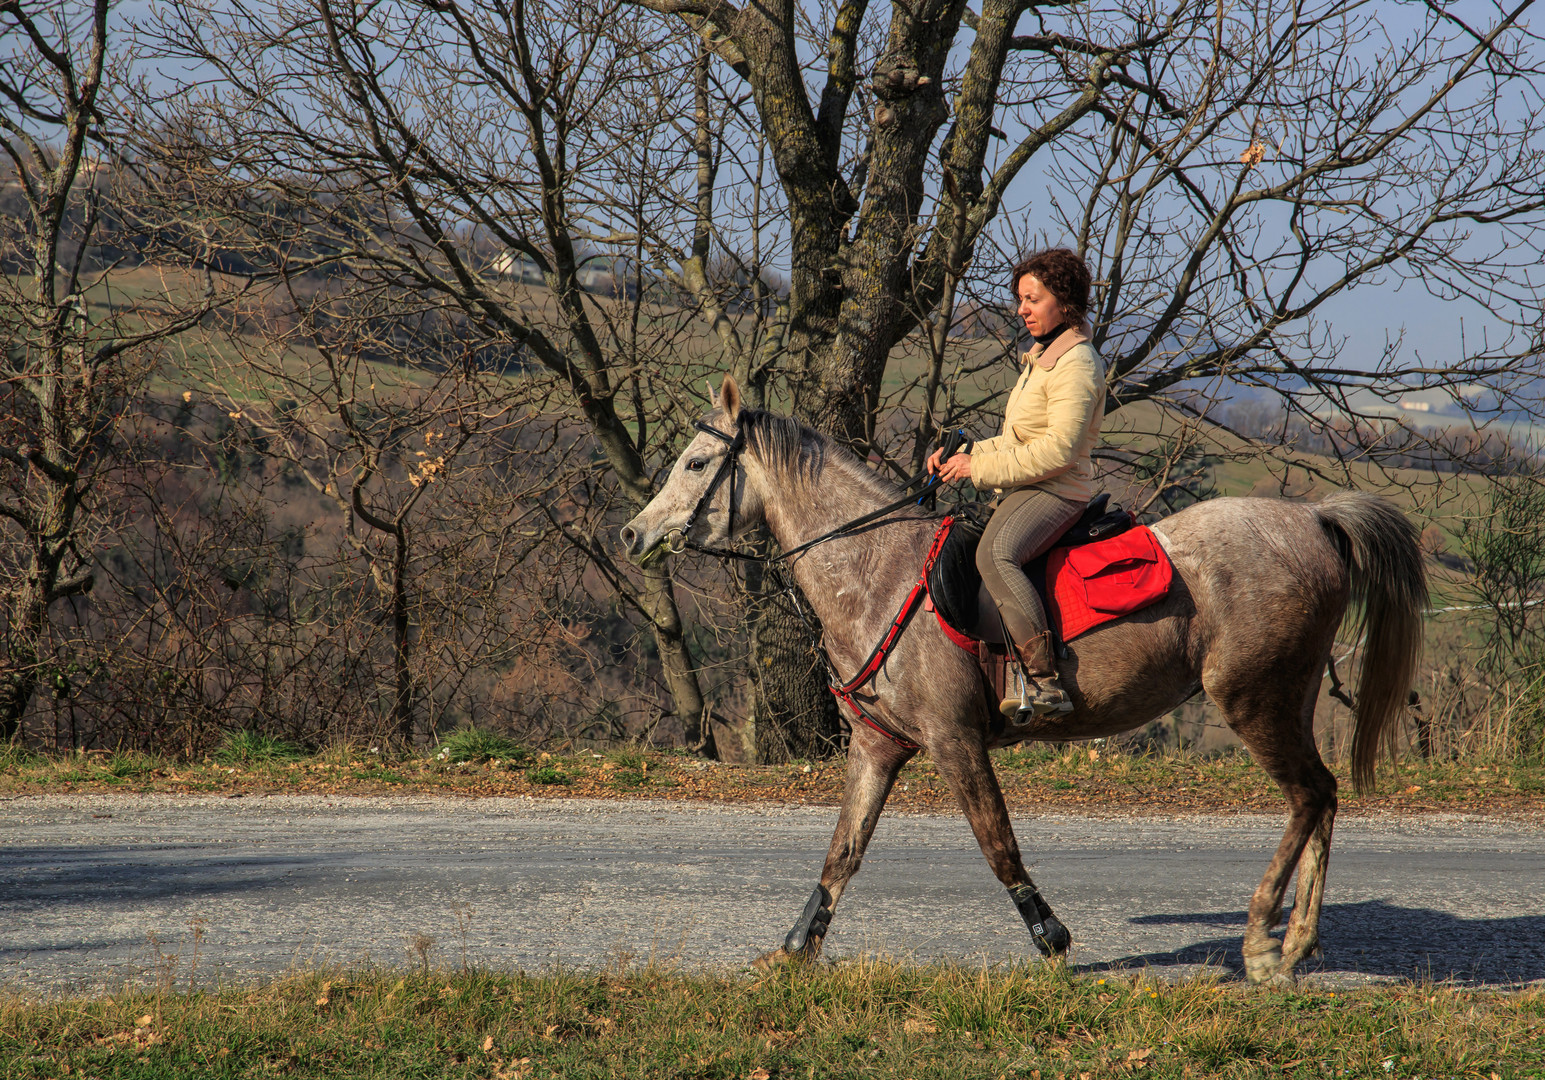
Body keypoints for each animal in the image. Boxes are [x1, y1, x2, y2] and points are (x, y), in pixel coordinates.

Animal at [611, 375, 1421, 982]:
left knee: (1307, 796)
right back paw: (1297, 942)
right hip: (1286, 698)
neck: (877, 574)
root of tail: (1313, 521)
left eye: (694, 463)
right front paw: (794, 949)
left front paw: (1051, 937)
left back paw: (1260, 941)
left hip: (1253, 698)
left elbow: (996, 842)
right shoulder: (878, 747)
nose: (630, 533)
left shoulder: (954, 741)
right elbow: (843, 851)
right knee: (1323, 796)